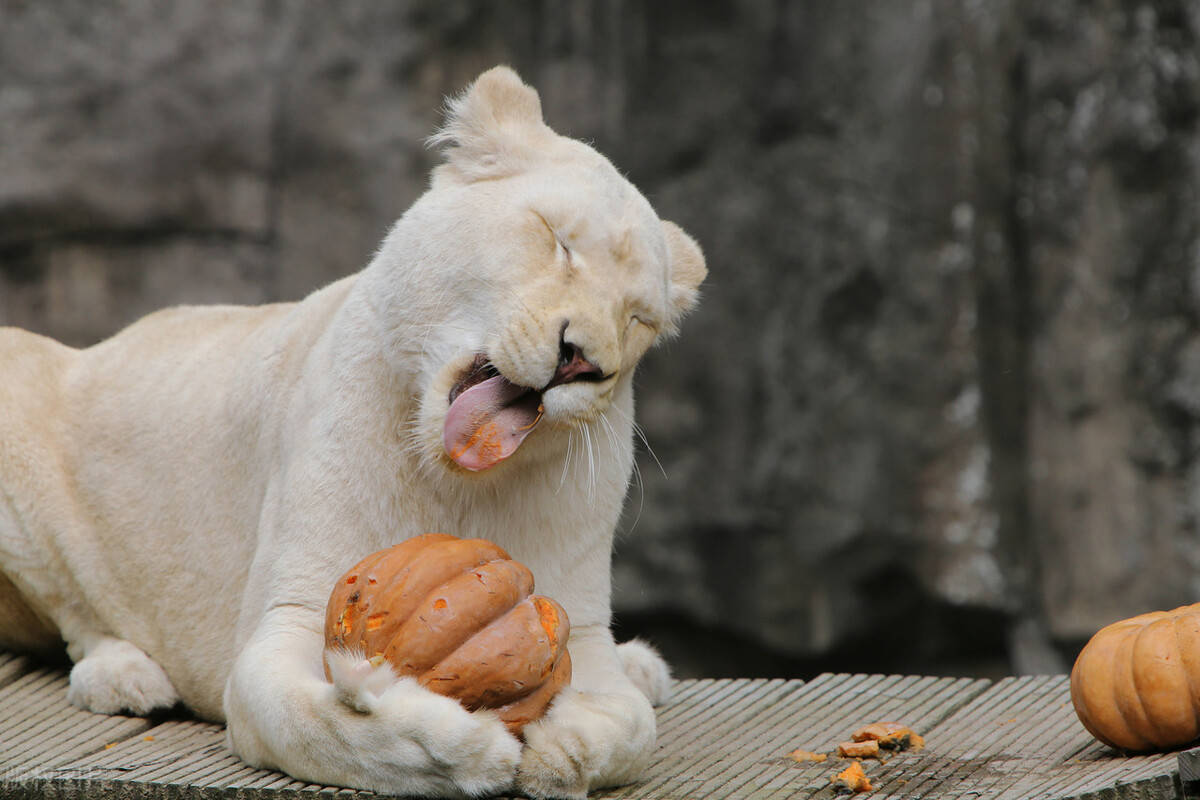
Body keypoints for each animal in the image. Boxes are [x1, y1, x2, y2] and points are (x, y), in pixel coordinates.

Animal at [0, 68, 700, 800]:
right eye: (557, 239)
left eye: (639, 319)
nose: (583, 360)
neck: (460, 485)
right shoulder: (289, 619)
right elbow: (325, 724)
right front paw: (462, 749)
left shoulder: (579, 626)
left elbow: (632, 730)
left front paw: (565, 751)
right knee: (76, 617)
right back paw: (125, 677)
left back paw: (644, 666)